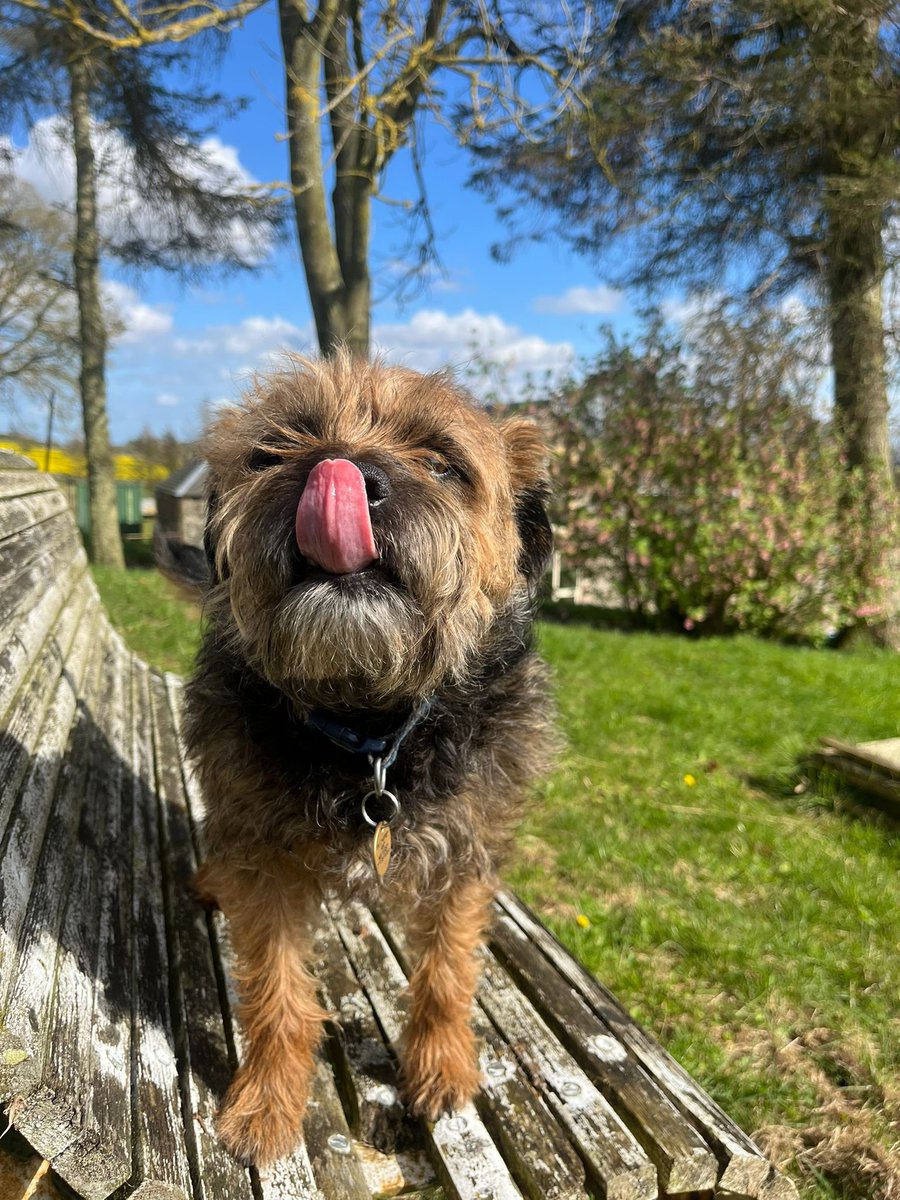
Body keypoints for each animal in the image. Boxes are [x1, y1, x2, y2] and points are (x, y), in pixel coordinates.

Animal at [170, 350, 556, 1166]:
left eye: (442, 463)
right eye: (275, 448)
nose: (344, 474)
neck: (368, 723)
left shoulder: (463, 854)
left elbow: (447, 970)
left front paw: (442, 1067)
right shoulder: (263, 863)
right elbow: (277, 992)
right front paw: (267, 1102)